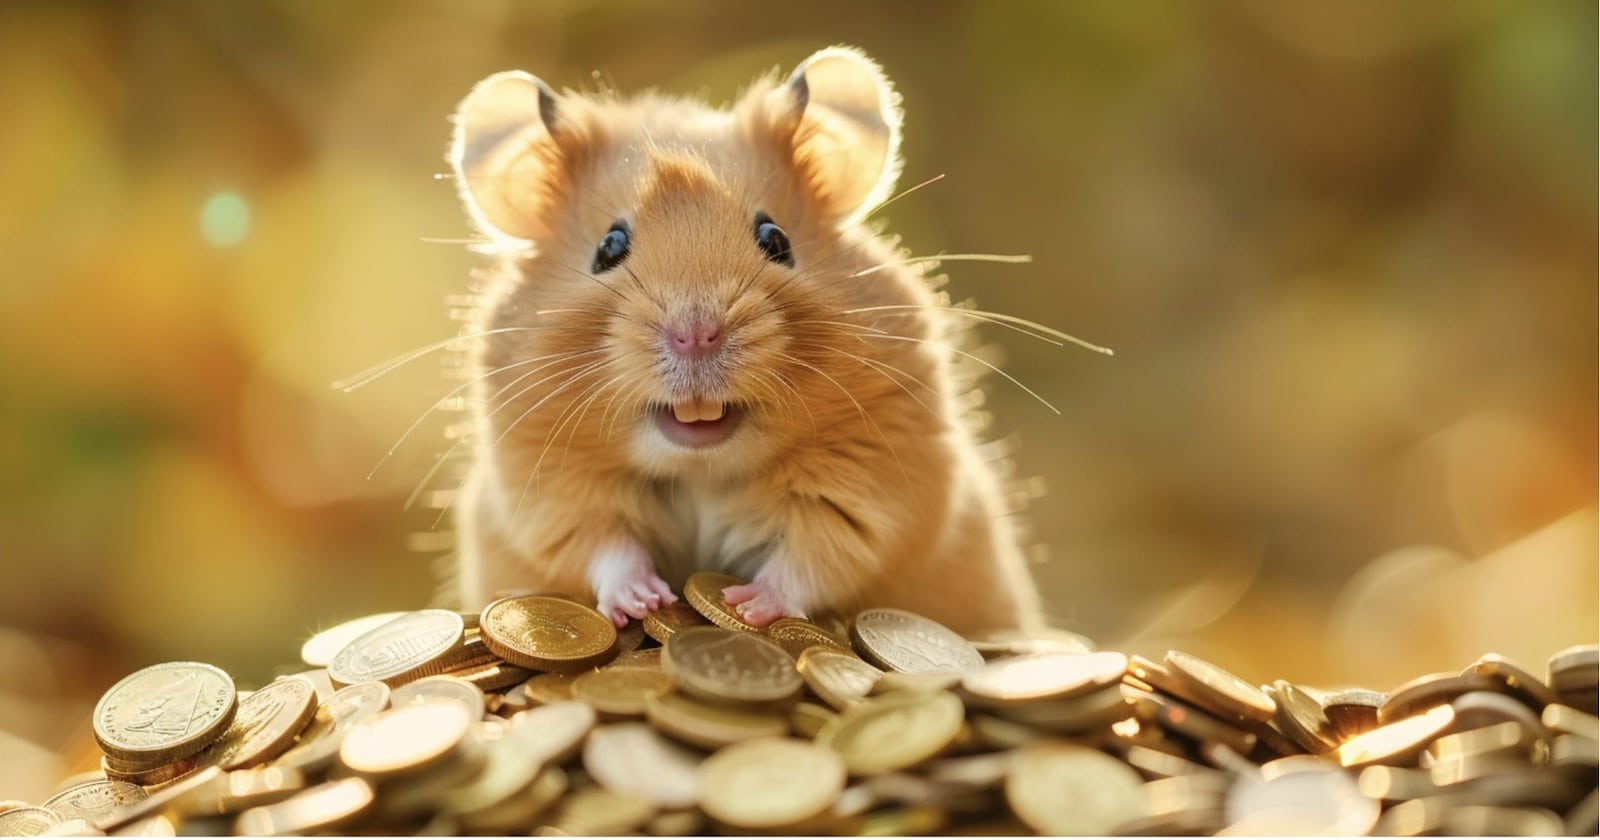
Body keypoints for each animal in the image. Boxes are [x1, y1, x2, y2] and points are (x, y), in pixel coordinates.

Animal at [446, 46, 1044, 635]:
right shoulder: (545, 488)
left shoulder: (876, 479)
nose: (695, 335)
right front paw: (644, 602)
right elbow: (603, 545)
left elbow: (814, 553)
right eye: (608, 247)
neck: (703, 468)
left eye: (775, 240)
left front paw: (745, 607)